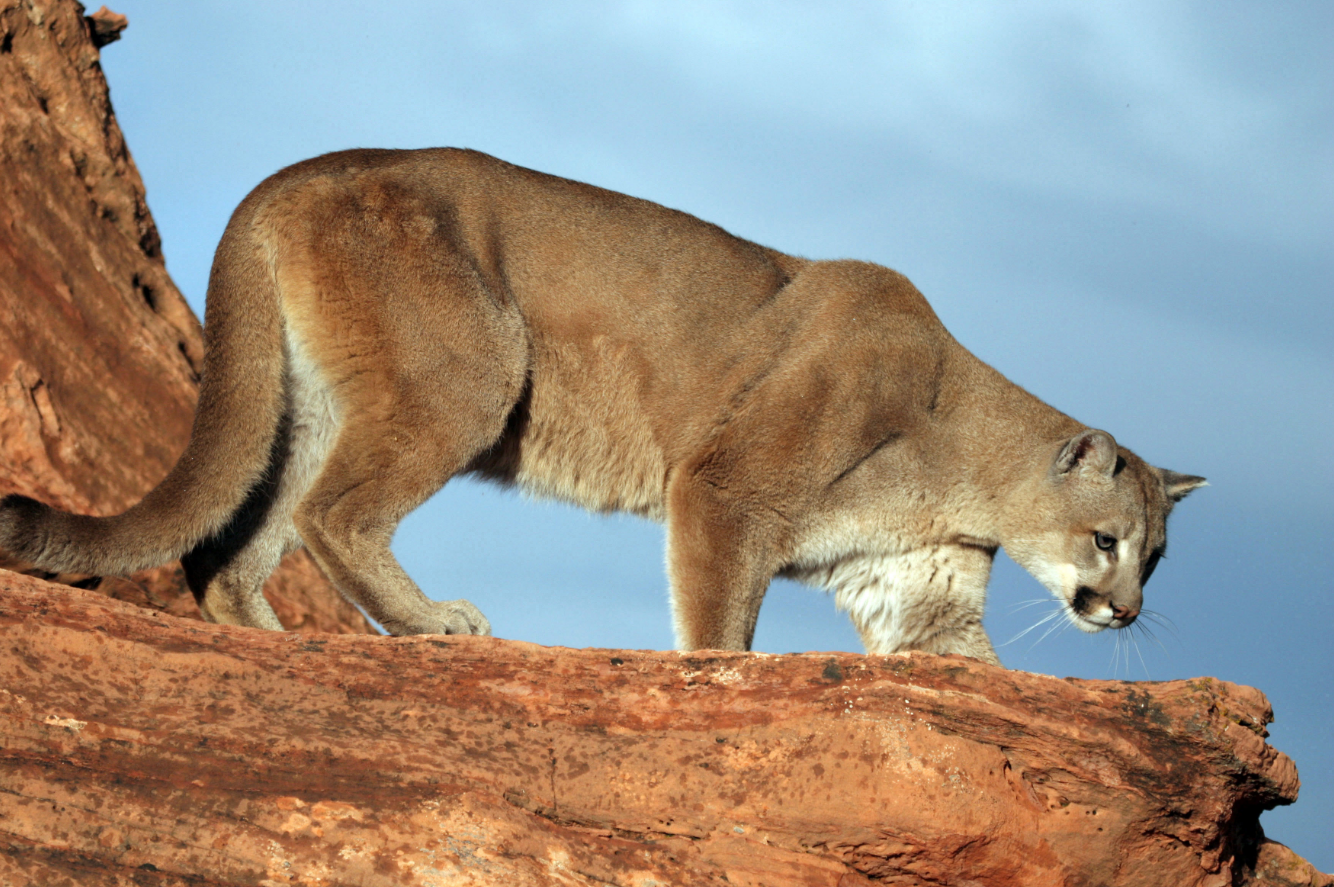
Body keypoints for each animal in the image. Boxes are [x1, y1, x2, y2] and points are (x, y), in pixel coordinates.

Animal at [2, 148, 1211, 661]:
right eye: (1107, 541)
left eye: (1155, 559)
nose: (1122, 612)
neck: (959, 456)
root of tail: (292, 173)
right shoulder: (726, 488)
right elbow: (719, 625)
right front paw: (717, 674)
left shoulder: (914, 581)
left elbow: (956, 662)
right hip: (476, 367)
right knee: (330, 513)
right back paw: (431, 623)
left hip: (305, 404)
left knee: (231, 546)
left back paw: (278, 641)